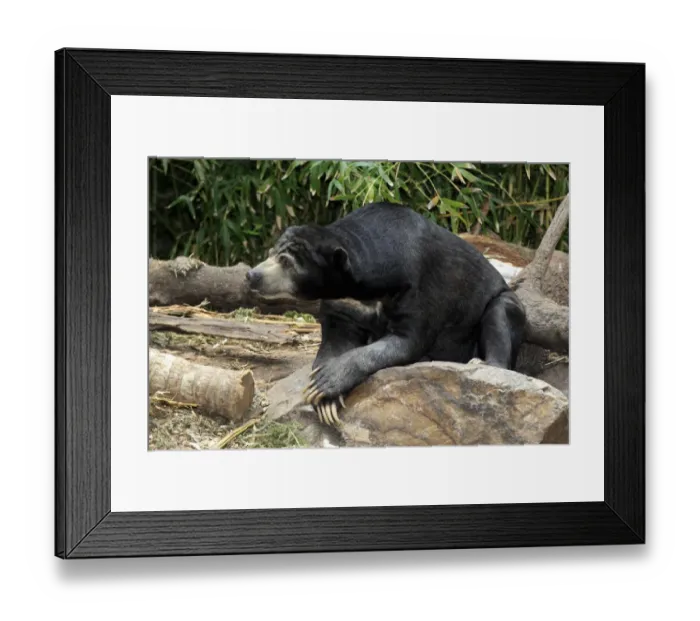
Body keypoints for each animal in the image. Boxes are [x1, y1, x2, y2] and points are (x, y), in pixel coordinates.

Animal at [247, 202, 527, 426]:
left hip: (503, 301)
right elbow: (336, 341)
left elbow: (406, 341)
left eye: (286, 262)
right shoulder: (343, 303)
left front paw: (325, 384)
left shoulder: (418, 287)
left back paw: (482, 363)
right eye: (270, 254)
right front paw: (325, 400)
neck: (365, 288)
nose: (252, 275)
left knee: (499, 316)